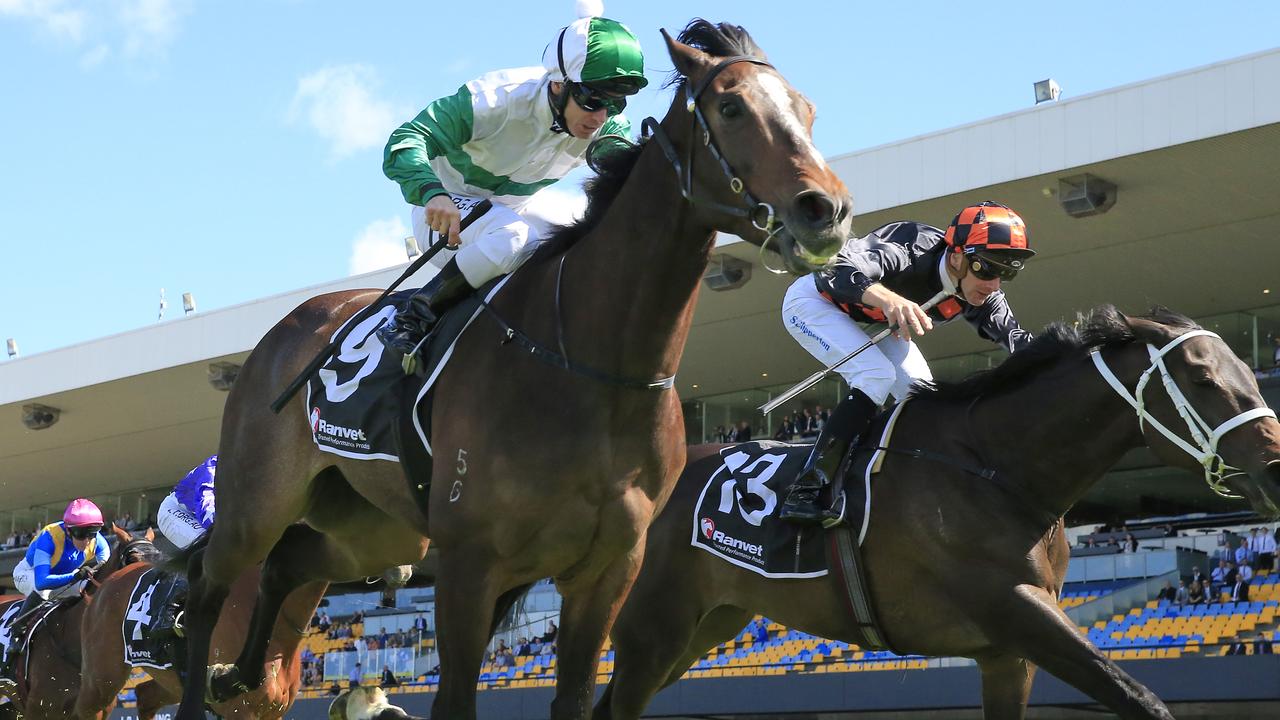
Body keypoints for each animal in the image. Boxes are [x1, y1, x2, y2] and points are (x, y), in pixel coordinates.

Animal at [172, 15, 849, 717]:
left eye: (807, 110)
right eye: (731, 107)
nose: (825, 210)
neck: (592, 372)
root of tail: (288, 326)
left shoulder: (607, 570)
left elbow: (573, 697)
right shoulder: (471, 564)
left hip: (376, 530)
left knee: (286, 565)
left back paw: (242, 677)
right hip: (257, 501)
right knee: (207, 585)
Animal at [596, 303, 1280, 717]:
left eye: (1251, 369)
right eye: (1203, 379)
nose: (1276, 466)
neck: (994, 465)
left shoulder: (1006, 653)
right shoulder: (1016, 610)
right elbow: (1139, 696)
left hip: (705, 627)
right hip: (653, 628)